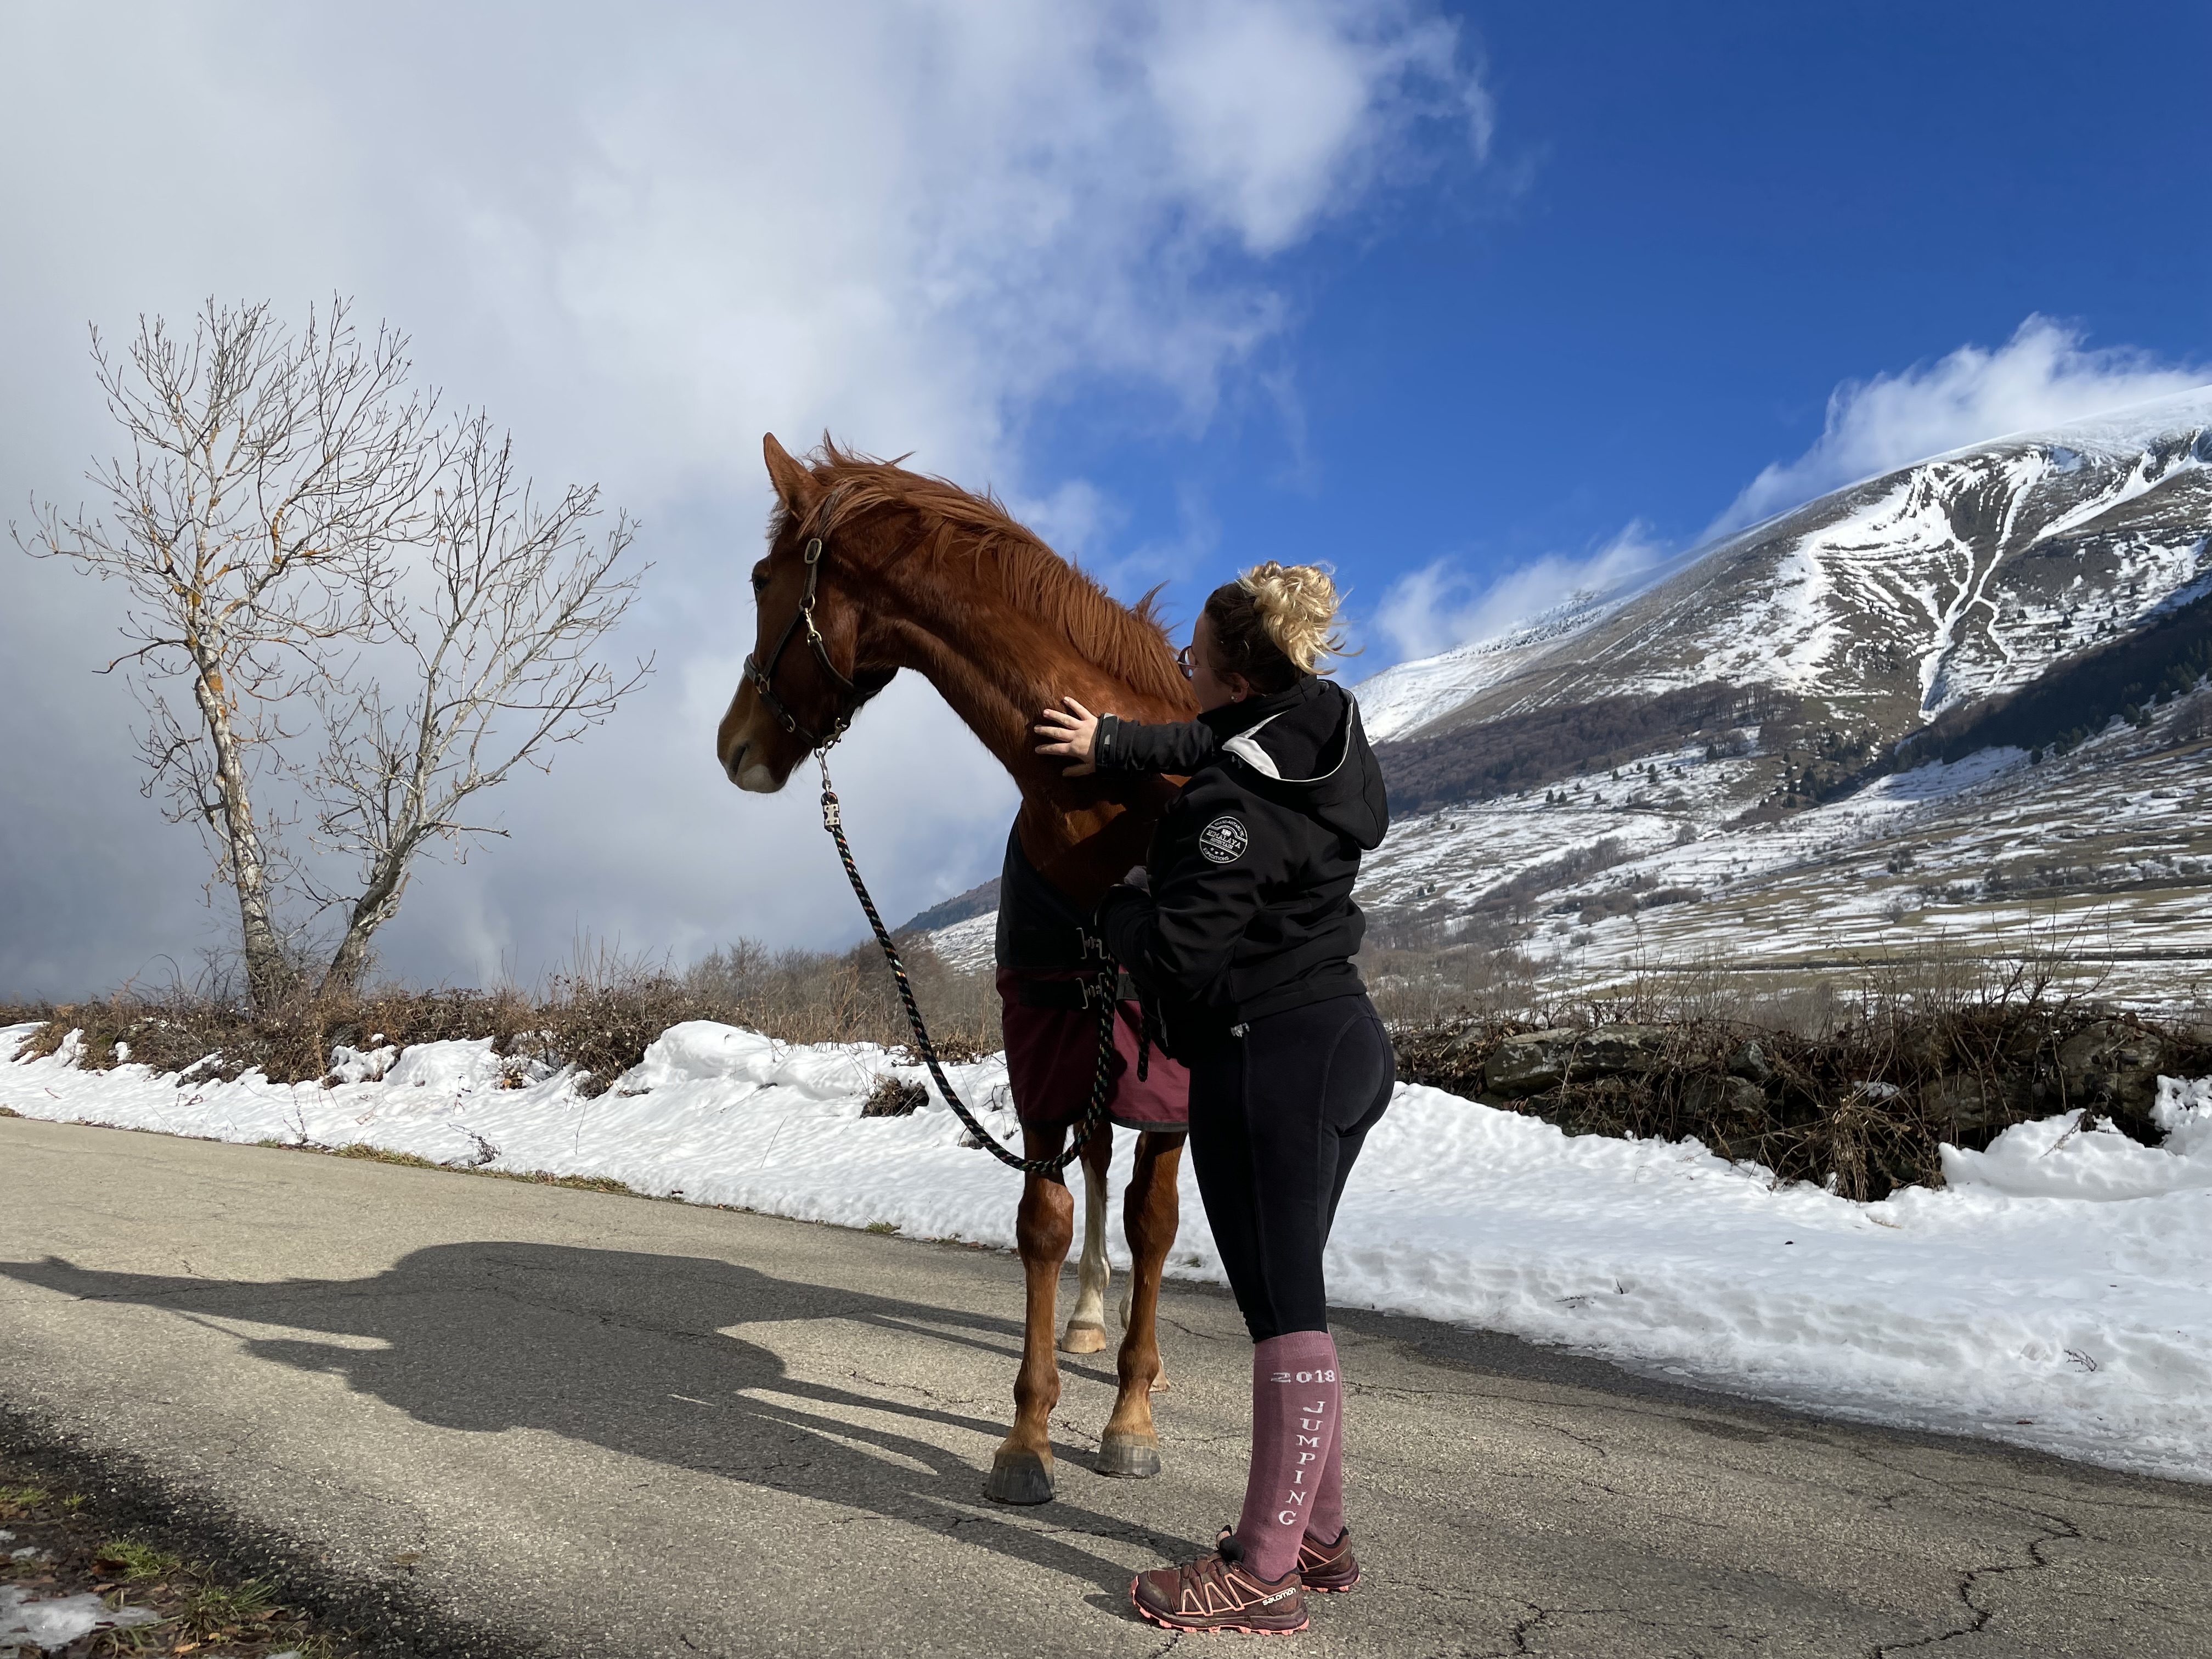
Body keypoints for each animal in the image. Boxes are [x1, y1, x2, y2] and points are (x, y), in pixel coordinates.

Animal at [717, 433, 1200, 1505]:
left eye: (764, 579)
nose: (733, 747)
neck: (1109, 807)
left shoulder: (1174, 1071)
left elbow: (1154, 1221)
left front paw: (1134, 1415)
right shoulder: (1041, 1048)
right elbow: (1045, 1219)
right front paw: (1028, 1437)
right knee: (1092, 1167)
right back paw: (1089, 1317)